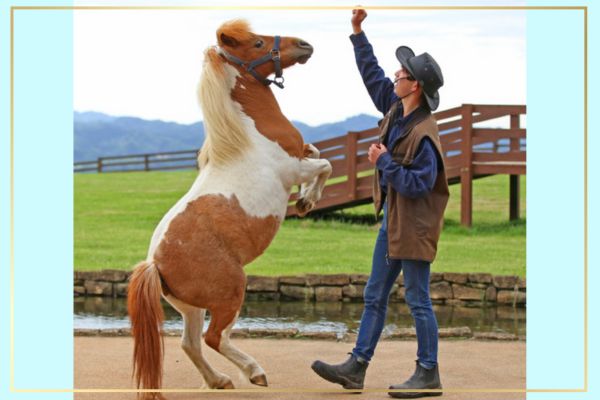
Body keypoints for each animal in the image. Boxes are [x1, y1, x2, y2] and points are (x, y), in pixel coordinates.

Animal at [128, 20, 332, 398]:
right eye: (257, 43)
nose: (304, 44)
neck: (251, 133)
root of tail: (155, 263)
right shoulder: (293, 168)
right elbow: (324, 165)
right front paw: (307, 201)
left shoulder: (300, 156)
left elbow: (316, 151)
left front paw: (306, 199)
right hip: (231, 292)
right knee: (213, 338)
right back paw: (254, 372)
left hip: (192, 308)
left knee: (190, 343)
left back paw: (219, 380)